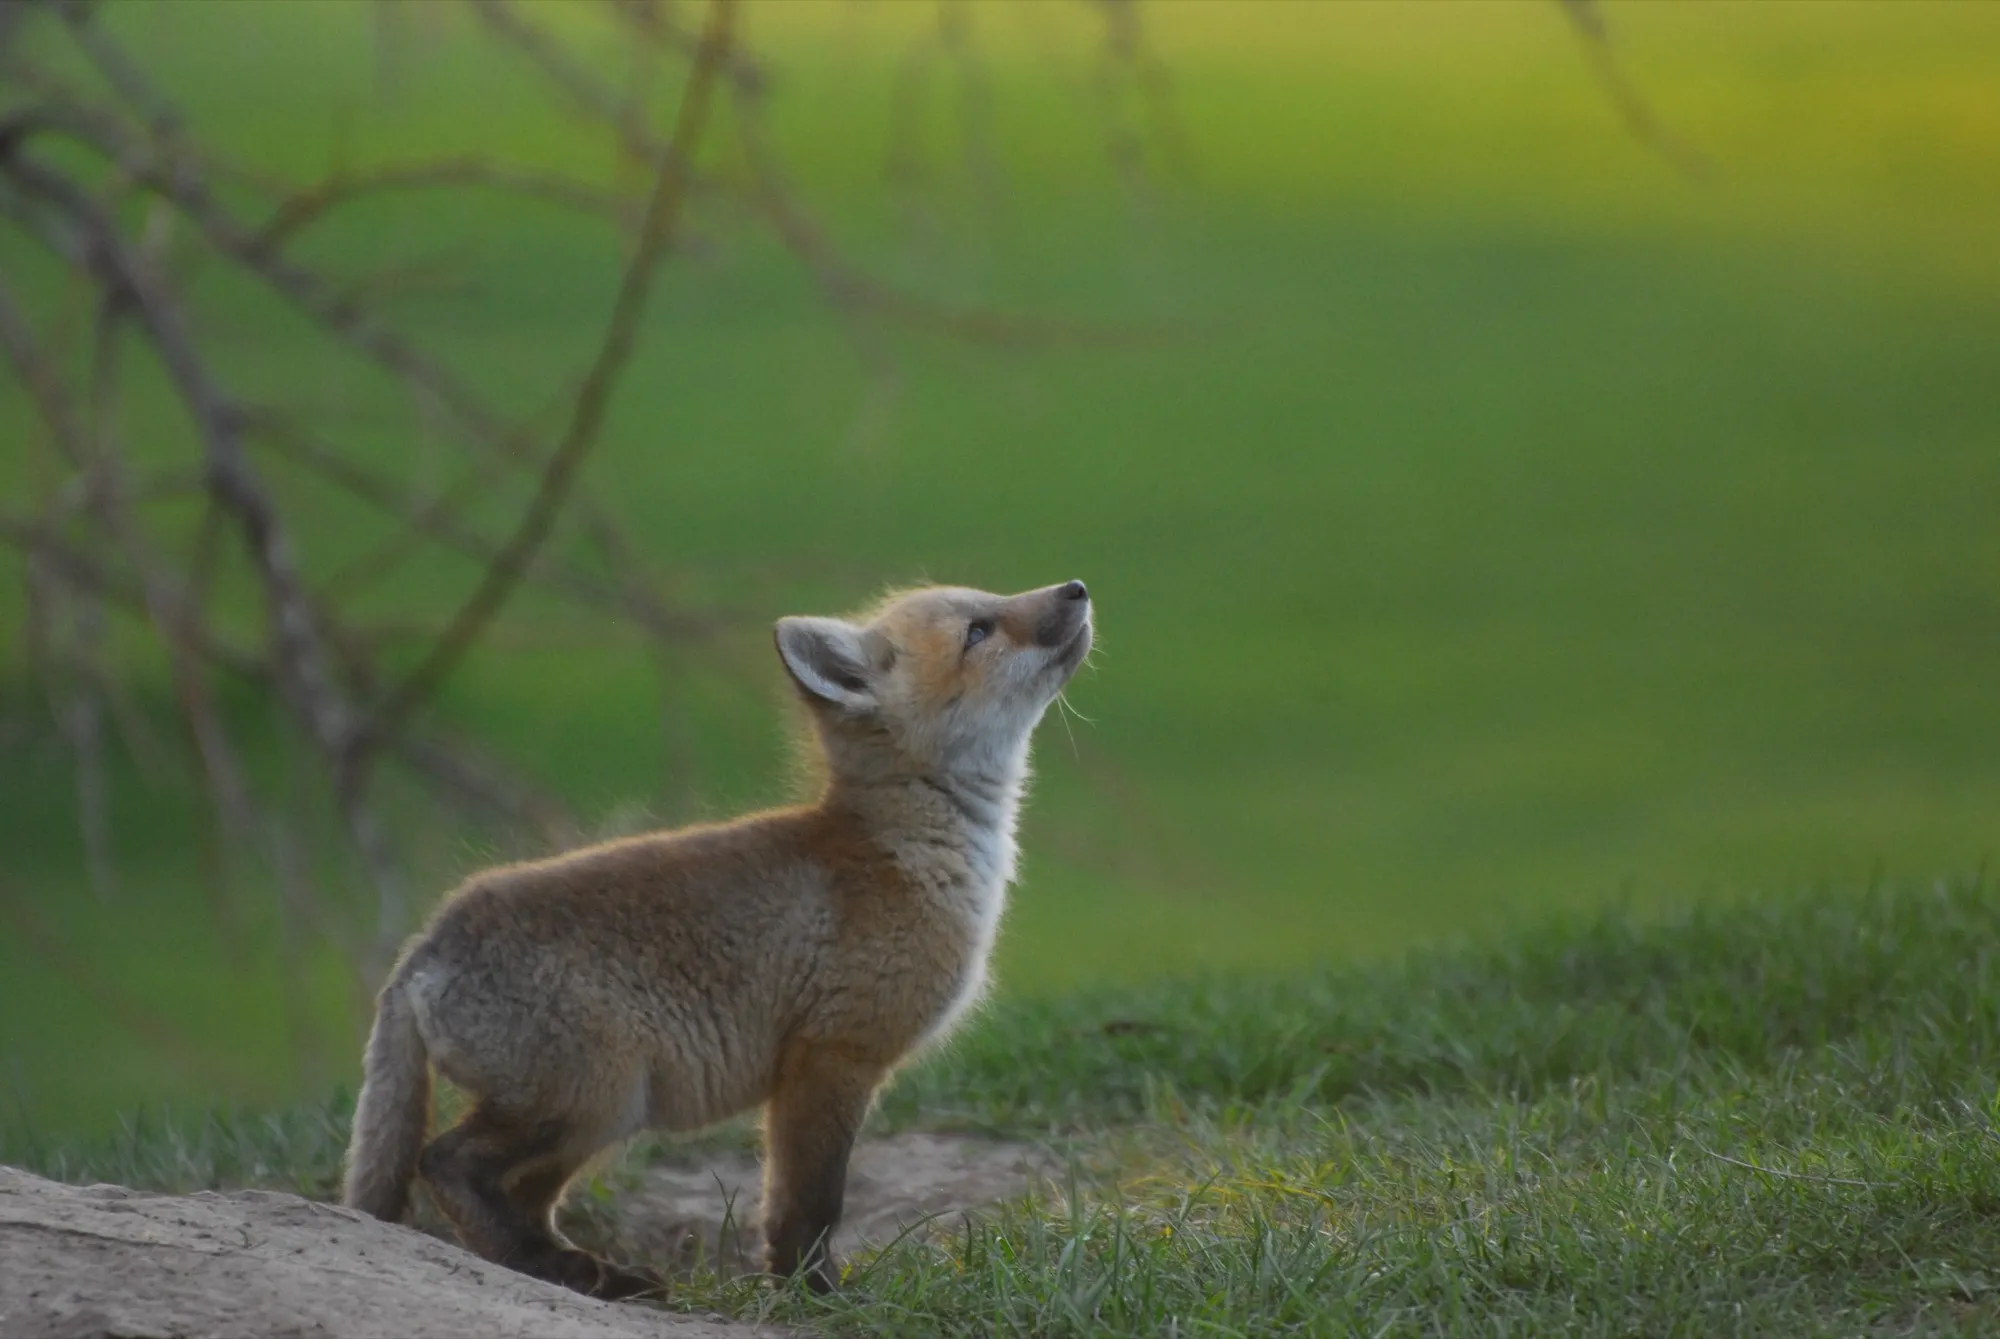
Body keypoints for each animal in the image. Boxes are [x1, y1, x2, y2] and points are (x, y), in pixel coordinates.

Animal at [340, 579, 1094, 1299]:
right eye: (978, 631)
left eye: (989, 600)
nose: (1077, 587)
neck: (906, 855)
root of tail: (426, 946)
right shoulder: (830, 1057)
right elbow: (809, 1204)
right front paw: (814, 1295)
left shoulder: (812, 1068)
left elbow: (791, 1202)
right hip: (589, 1099)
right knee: (446, 1162)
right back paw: (564, 1269)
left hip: (599, 1118)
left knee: (518, 1197)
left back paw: (587, 1274)